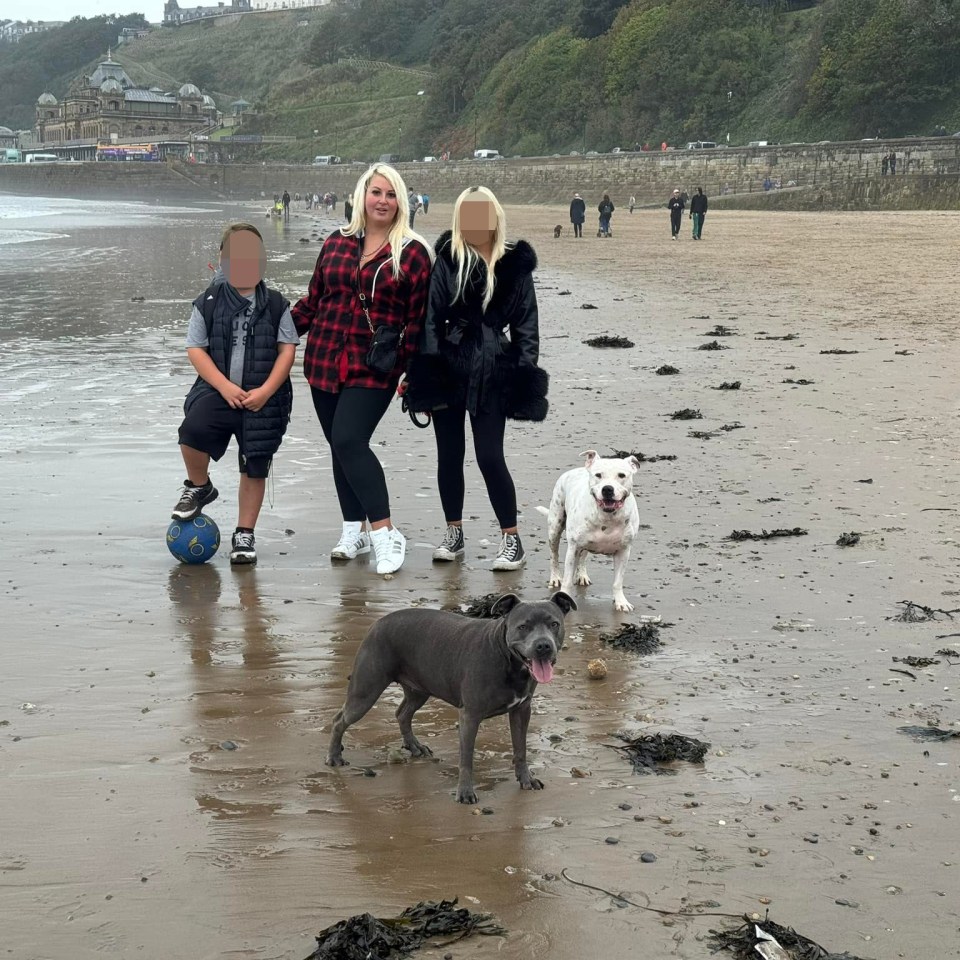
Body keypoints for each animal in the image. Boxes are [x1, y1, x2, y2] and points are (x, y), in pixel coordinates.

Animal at [326, 592, 572, 804]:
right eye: (523, 626)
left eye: (554, 624)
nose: (543, 645)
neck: (507, 659)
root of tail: (378, 622)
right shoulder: (470, 716)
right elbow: (466, 758)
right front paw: (465, 792)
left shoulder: (521, 711)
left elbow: (520, 748)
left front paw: (526, 779)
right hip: (365, 691)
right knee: (340, 720)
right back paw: (334, 757)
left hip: (419, 690)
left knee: (402, 713)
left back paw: (414, 746)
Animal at [536, 452, 640, 616]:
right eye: (598, 475)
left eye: (622, 475)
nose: (607, 489)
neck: (607, 516)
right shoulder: (573, 549)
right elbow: (567, 580)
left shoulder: (623, 551)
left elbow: (618, 582)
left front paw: (621, 602)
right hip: (555, 527)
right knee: (554, 555)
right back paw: (555, 577)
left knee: (583, 556)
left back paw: (582, 575)